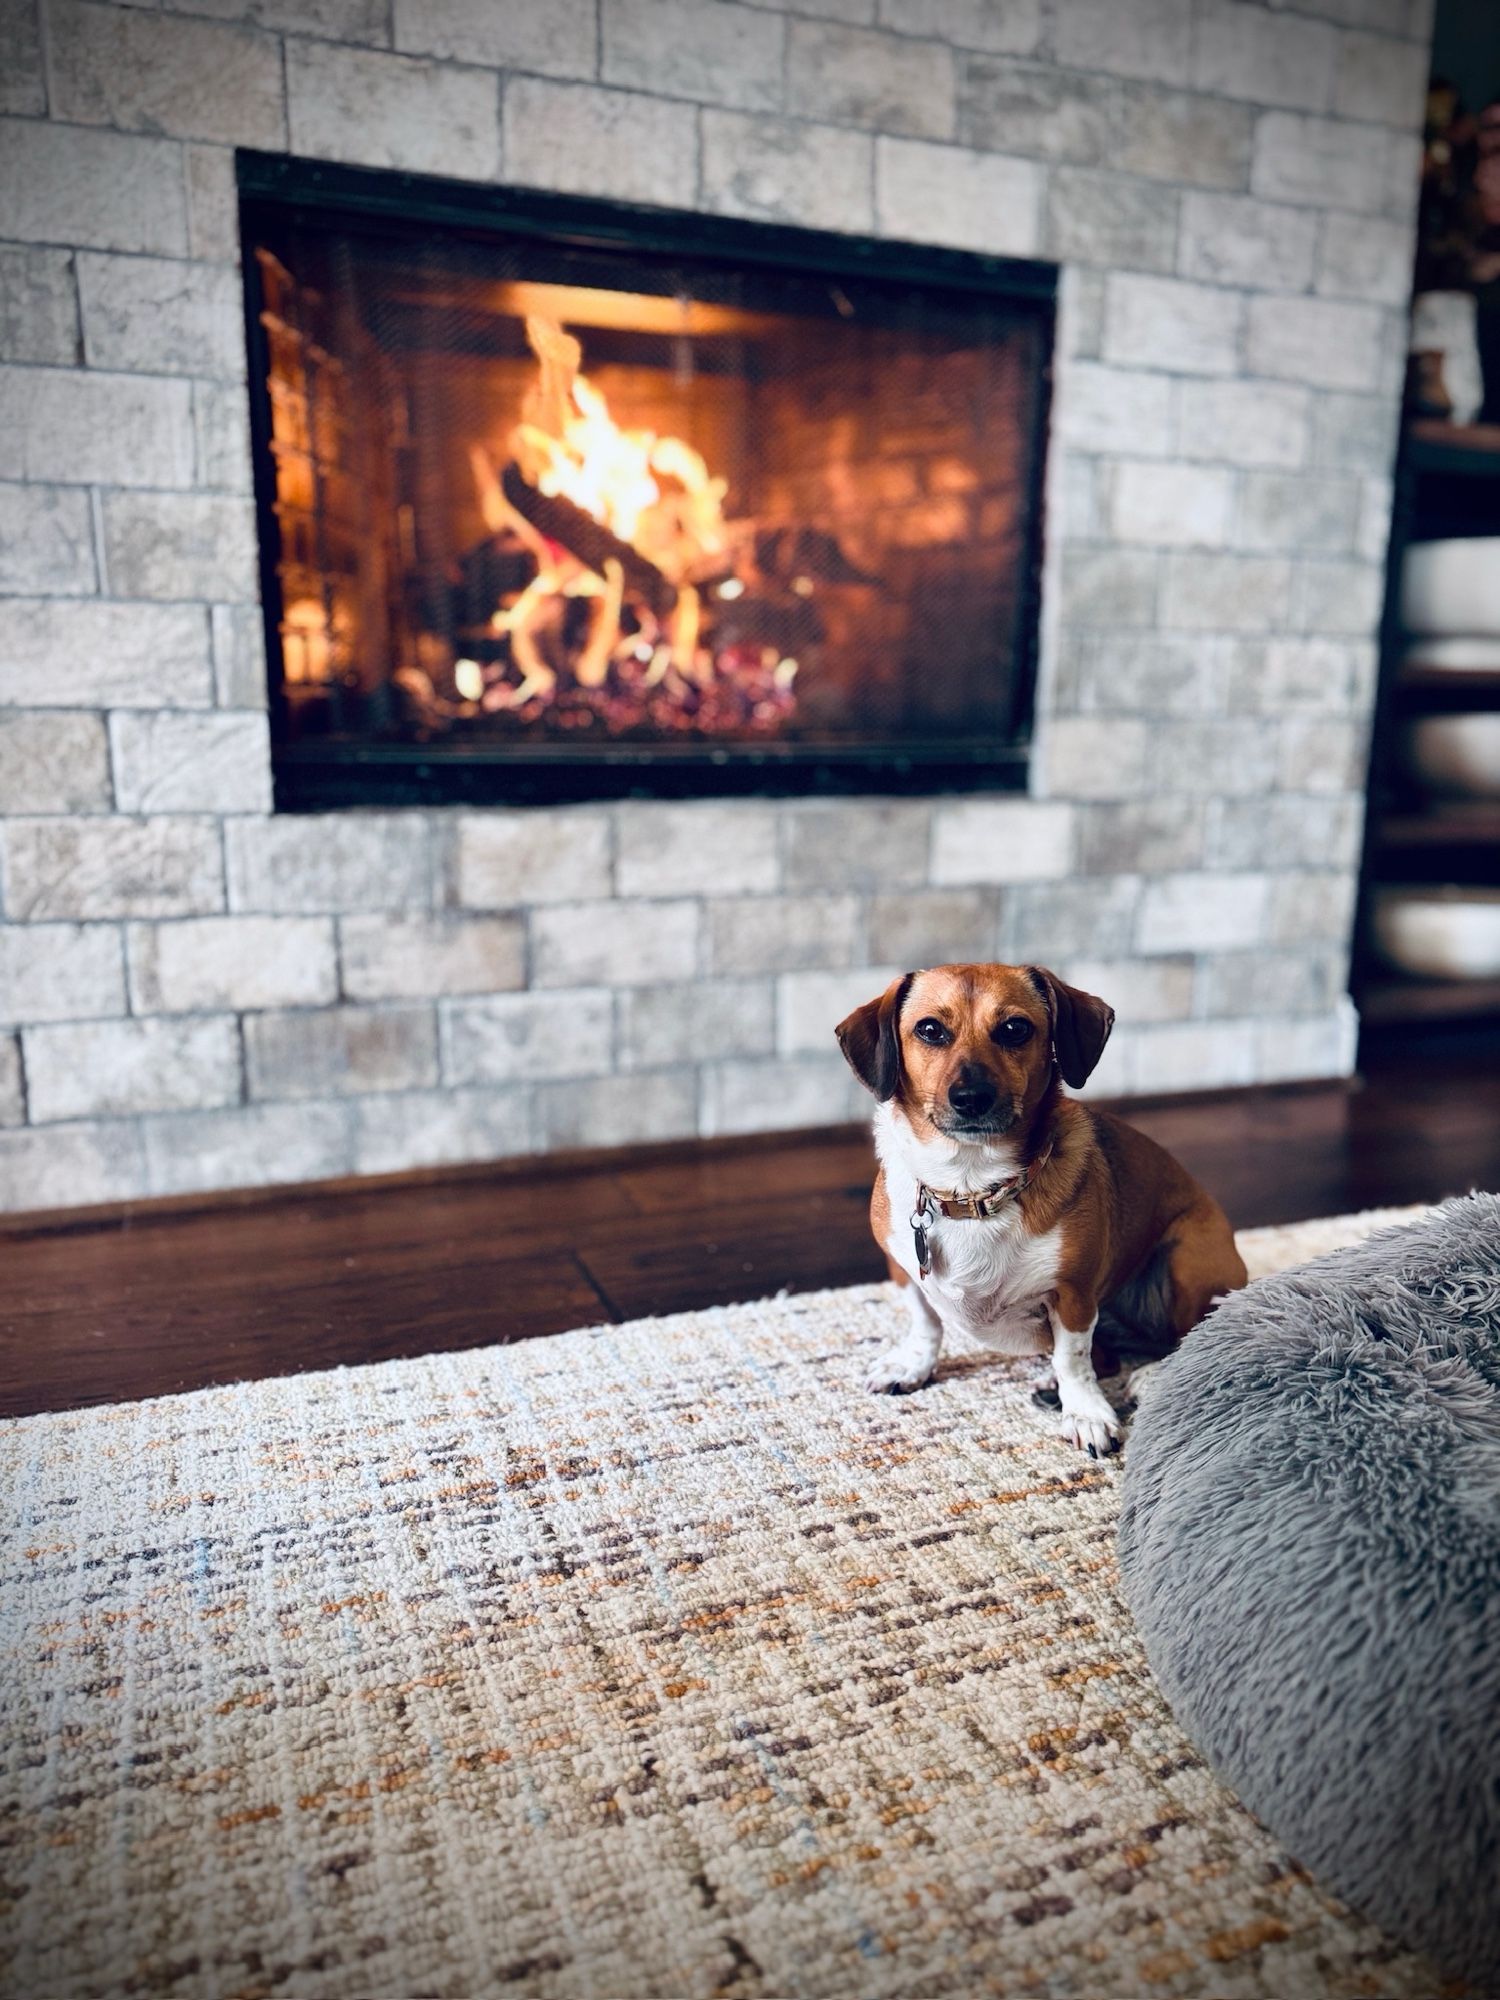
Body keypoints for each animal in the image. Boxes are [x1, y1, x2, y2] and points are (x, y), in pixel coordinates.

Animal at [840, 964, 1248, 1456]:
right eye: (930, 1030)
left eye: (1015, 1029)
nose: (971, 1097)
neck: (973, 1187)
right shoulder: (903, 1270)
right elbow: (926, 1322)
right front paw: (912, 1364)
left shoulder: (1074, 1295)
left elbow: (1072, 1357)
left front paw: (1086, 1413)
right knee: (1109, 1358)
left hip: (1187, 1260)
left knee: (1186, 1336)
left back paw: (1146, 1376)